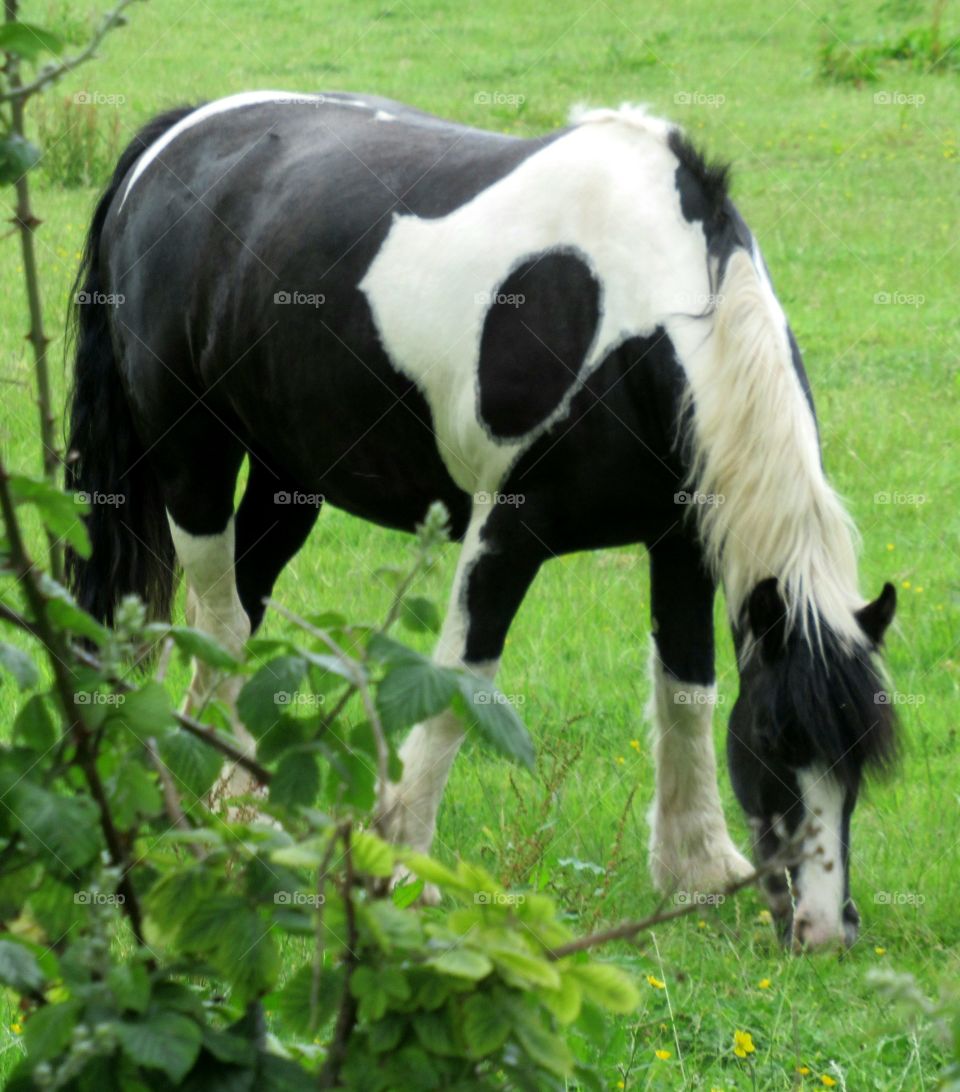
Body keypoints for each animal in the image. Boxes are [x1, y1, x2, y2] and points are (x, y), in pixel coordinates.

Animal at [67, 91, 899, 947]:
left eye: (860, 762)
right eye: (773, 741)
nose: (825, 929)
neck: (634, 321)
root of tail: (173, 136)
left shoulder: (681, 547)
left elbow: (686, 692)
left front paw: (697, 869)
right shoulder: (505, 534)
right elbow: (458, 682)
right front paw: (404, 867)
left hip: (286, 477)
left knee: (236, 610)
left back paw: (225, 794)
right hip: (191, 457)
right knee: (223, 620)